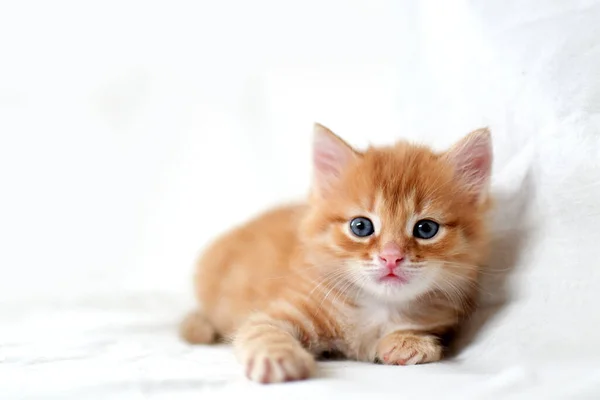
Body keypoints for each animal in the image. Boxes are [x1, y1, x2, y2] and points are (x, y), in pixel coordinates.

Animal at [180, 122, 494, 384]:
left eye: (426, 229)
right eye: (361, 226)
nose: (391, 256)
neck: (378, 306)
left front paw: (409, 341)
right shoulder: (287, 306)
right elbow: (262, 330)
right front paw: (279, 358)